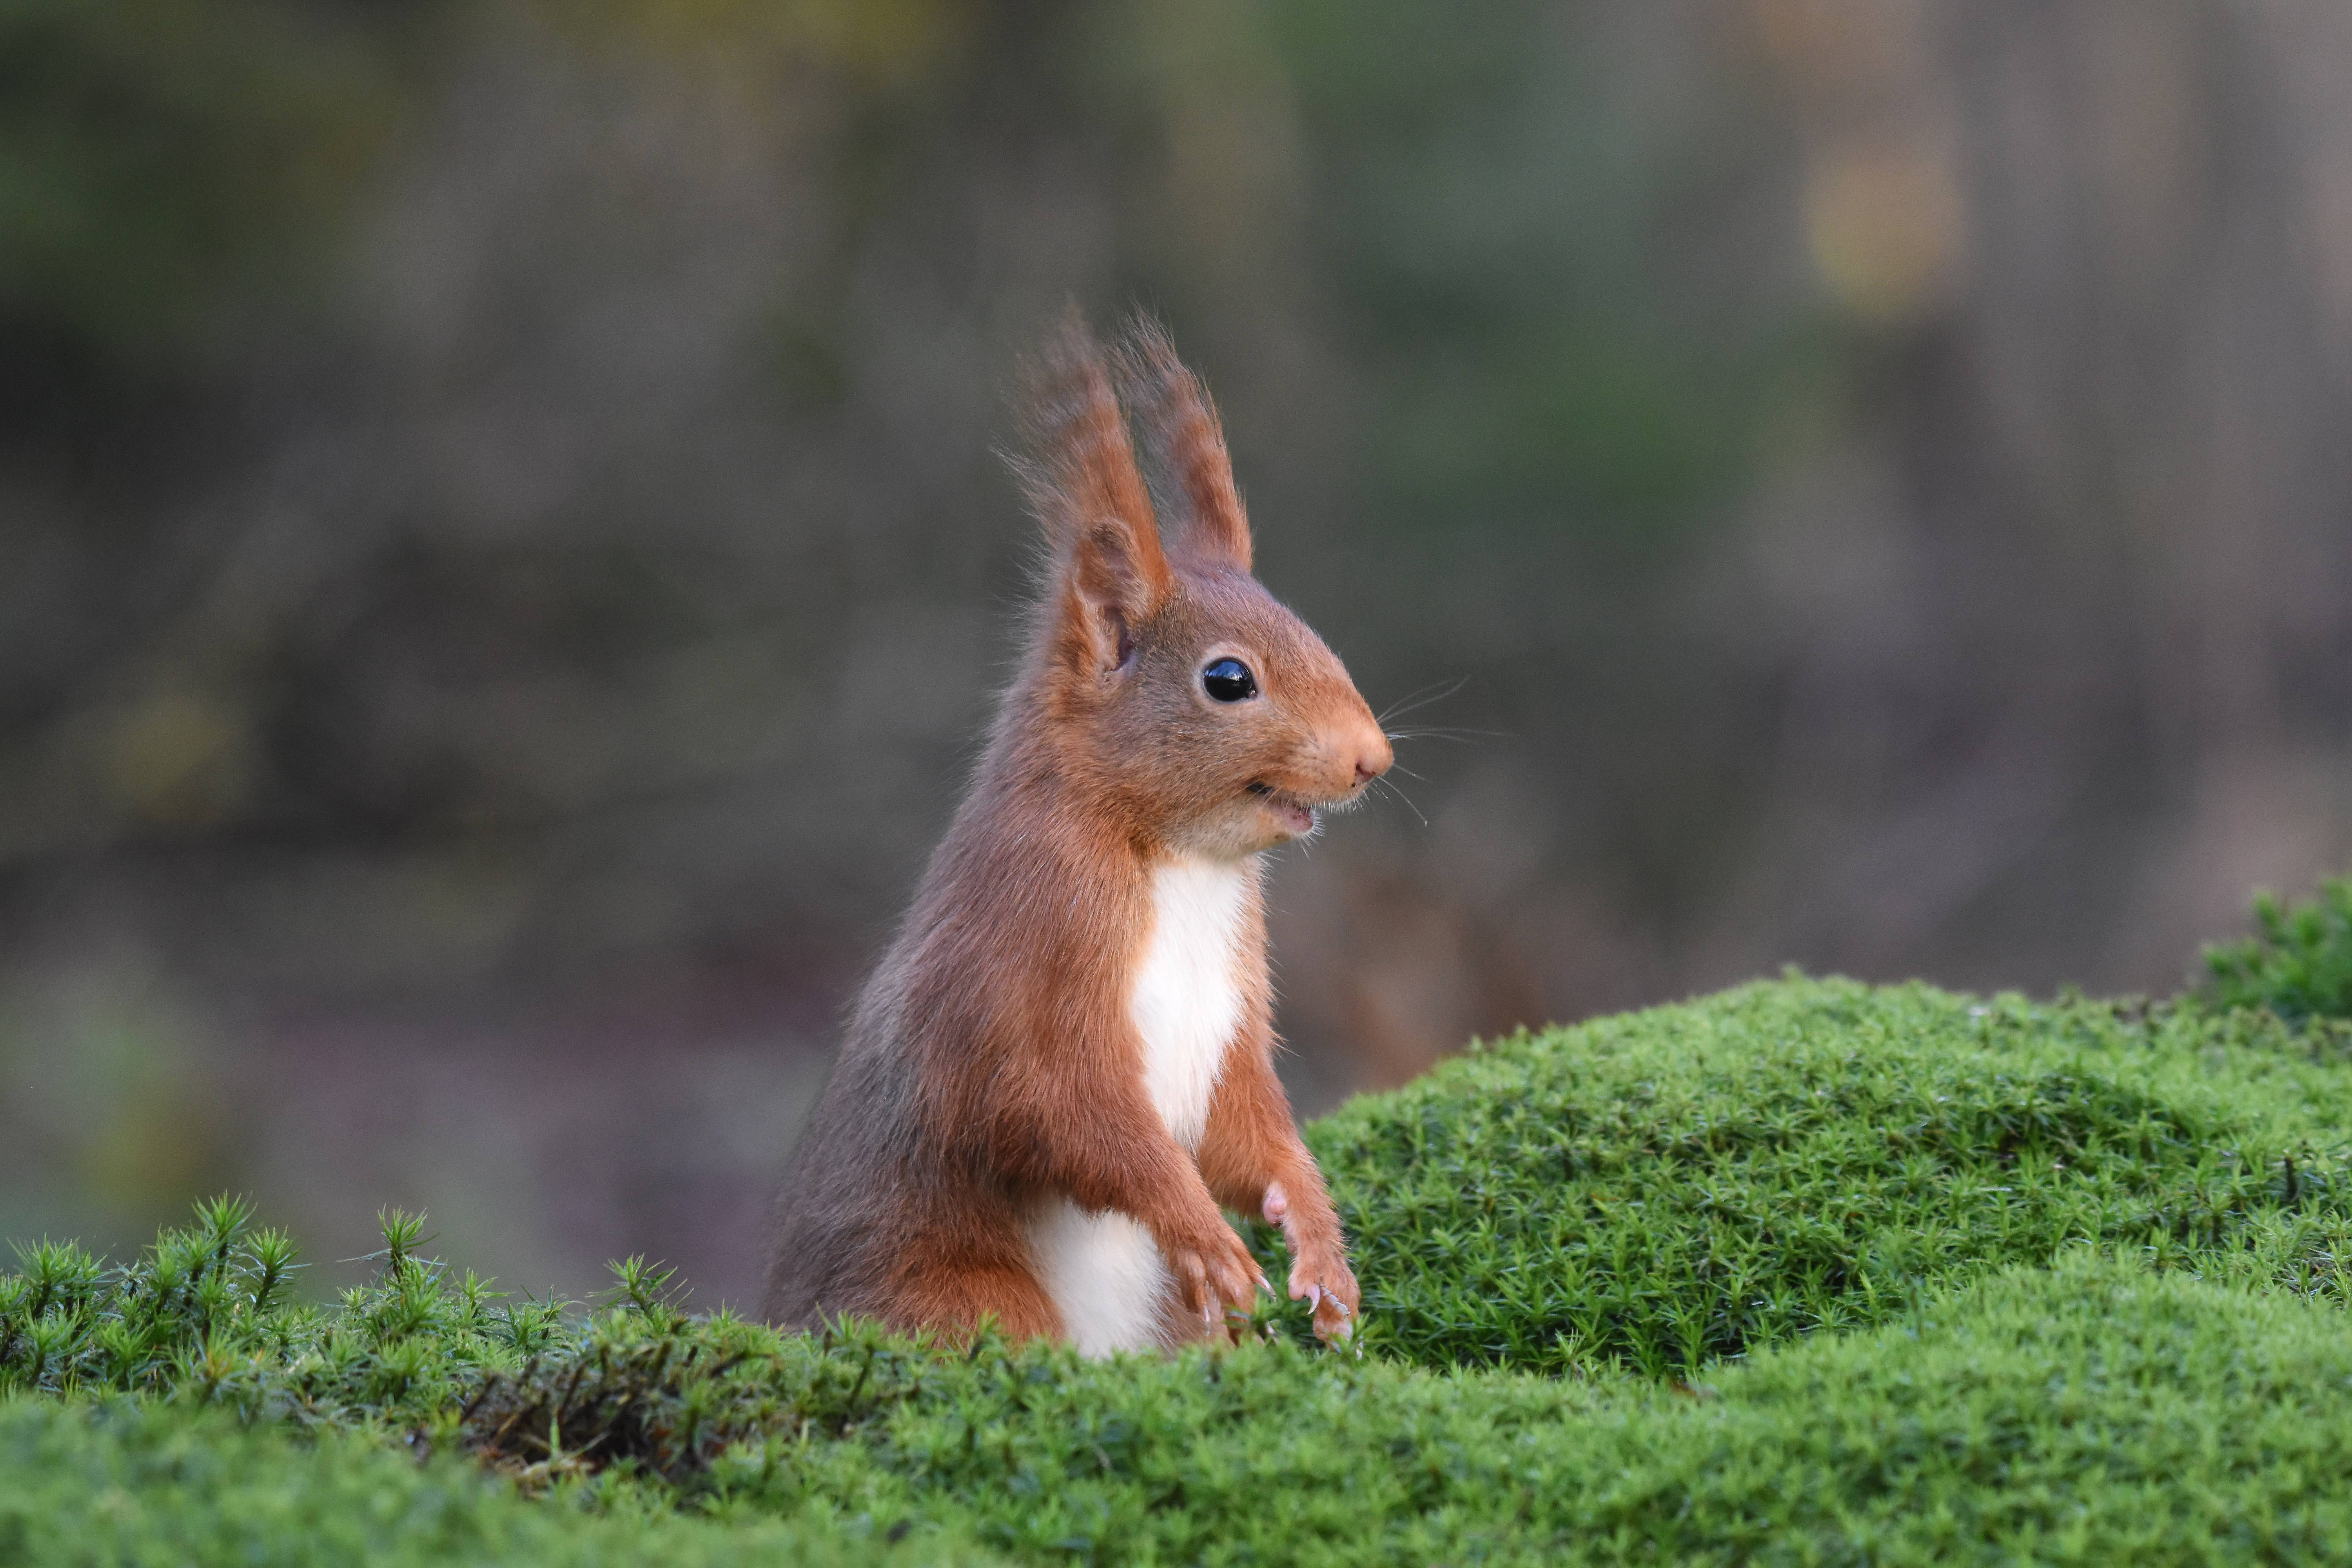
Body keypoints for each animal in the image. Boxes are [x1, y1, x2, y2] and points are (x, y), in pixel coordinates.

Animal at [767, 312, 1392, 1354]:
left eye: (1313, 631)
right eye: (1229, 679)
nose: (1371, 759)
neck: (1183, 862)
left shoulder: (1231, 1016)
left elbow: (1251, 1130)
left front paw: (1320, 1245)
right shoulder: (1024, 953)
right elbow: (1057, 1108)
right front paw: (1206, 1233)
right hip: (958, 1296)